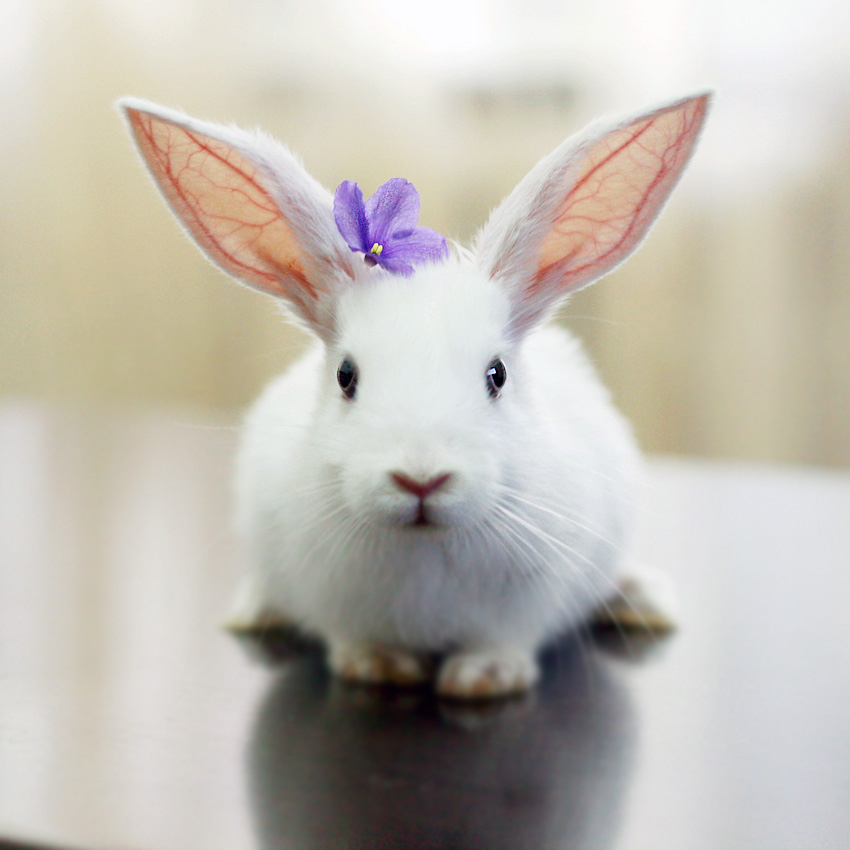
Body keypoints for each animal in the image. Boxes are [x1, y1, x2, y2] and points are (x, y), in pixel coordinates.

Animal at [119, 91, 708, 696]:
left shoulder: (525, 609)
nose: (421, 479)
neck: (424, 545)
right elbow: (357, 640)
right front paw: (379, 667)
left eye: (497, 375)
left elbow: (502, 642)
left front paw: (483, 679)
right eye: (346, 376)